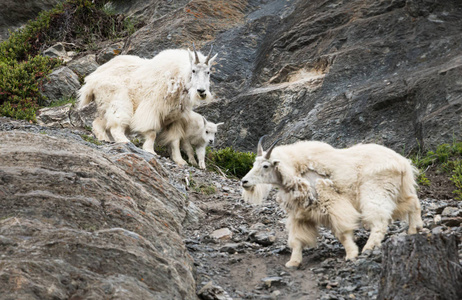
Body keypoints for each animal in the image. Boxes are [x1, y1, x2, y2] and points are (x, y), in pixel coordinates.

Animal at [77, 44, 218, 162]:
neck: (179, 78)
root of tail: (90, 82)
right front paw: (150, 151)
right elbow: (151, 132)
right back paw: (126, 142)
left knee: (99, 123)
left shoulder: (175, 118)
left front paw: (180, 161)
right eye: (193, 70)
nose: (201, 91)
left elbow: (175, 140)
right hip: (119, 101)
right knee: (116, 126)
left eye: (208, 72)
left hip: (105, 106)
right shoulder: (152, 107)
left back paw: (104, 139)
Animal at [240, 137, 424, 268]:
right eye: (254, 163)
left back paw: (369, 248)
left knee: (379, 221)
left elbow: (342, 232)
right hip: (395, 191)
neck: (296, 170)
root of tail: (403, 163)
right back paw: (414, 229)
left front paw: (351, 254)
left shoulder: (332, 202)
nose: (244, 182)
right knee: (413, 202)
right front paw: (293, 262)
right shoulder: (300, 213)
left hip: (375, 191)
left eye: (265, 166)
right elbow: (297, 239)